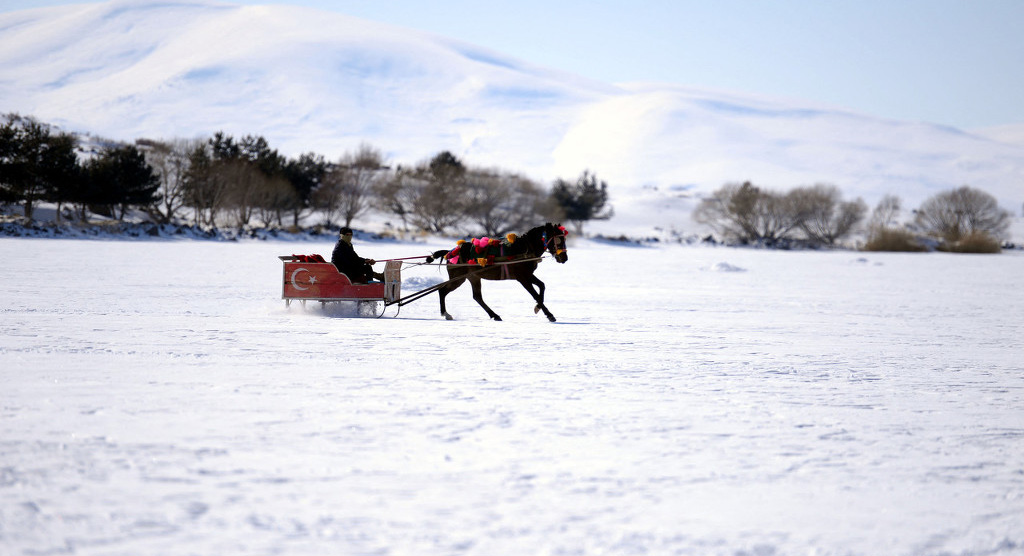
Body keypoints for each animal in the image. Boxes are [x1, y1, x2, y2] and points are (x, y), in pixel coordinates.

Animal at [423, 223, 569, 321]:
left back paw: (494, 315)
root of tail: (450, 252)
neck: (525, 248)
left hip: (473, 277)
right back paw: (446, 313)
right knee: (442, 291)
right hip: (459, 278)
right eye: (559, 239)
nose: (564, 258)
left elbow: (542, 286)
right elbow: (535, 295)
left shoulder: (528, 275)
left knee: (477, 297)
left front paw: (538, 307)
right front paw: (549, 314)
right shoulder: (522, 277)